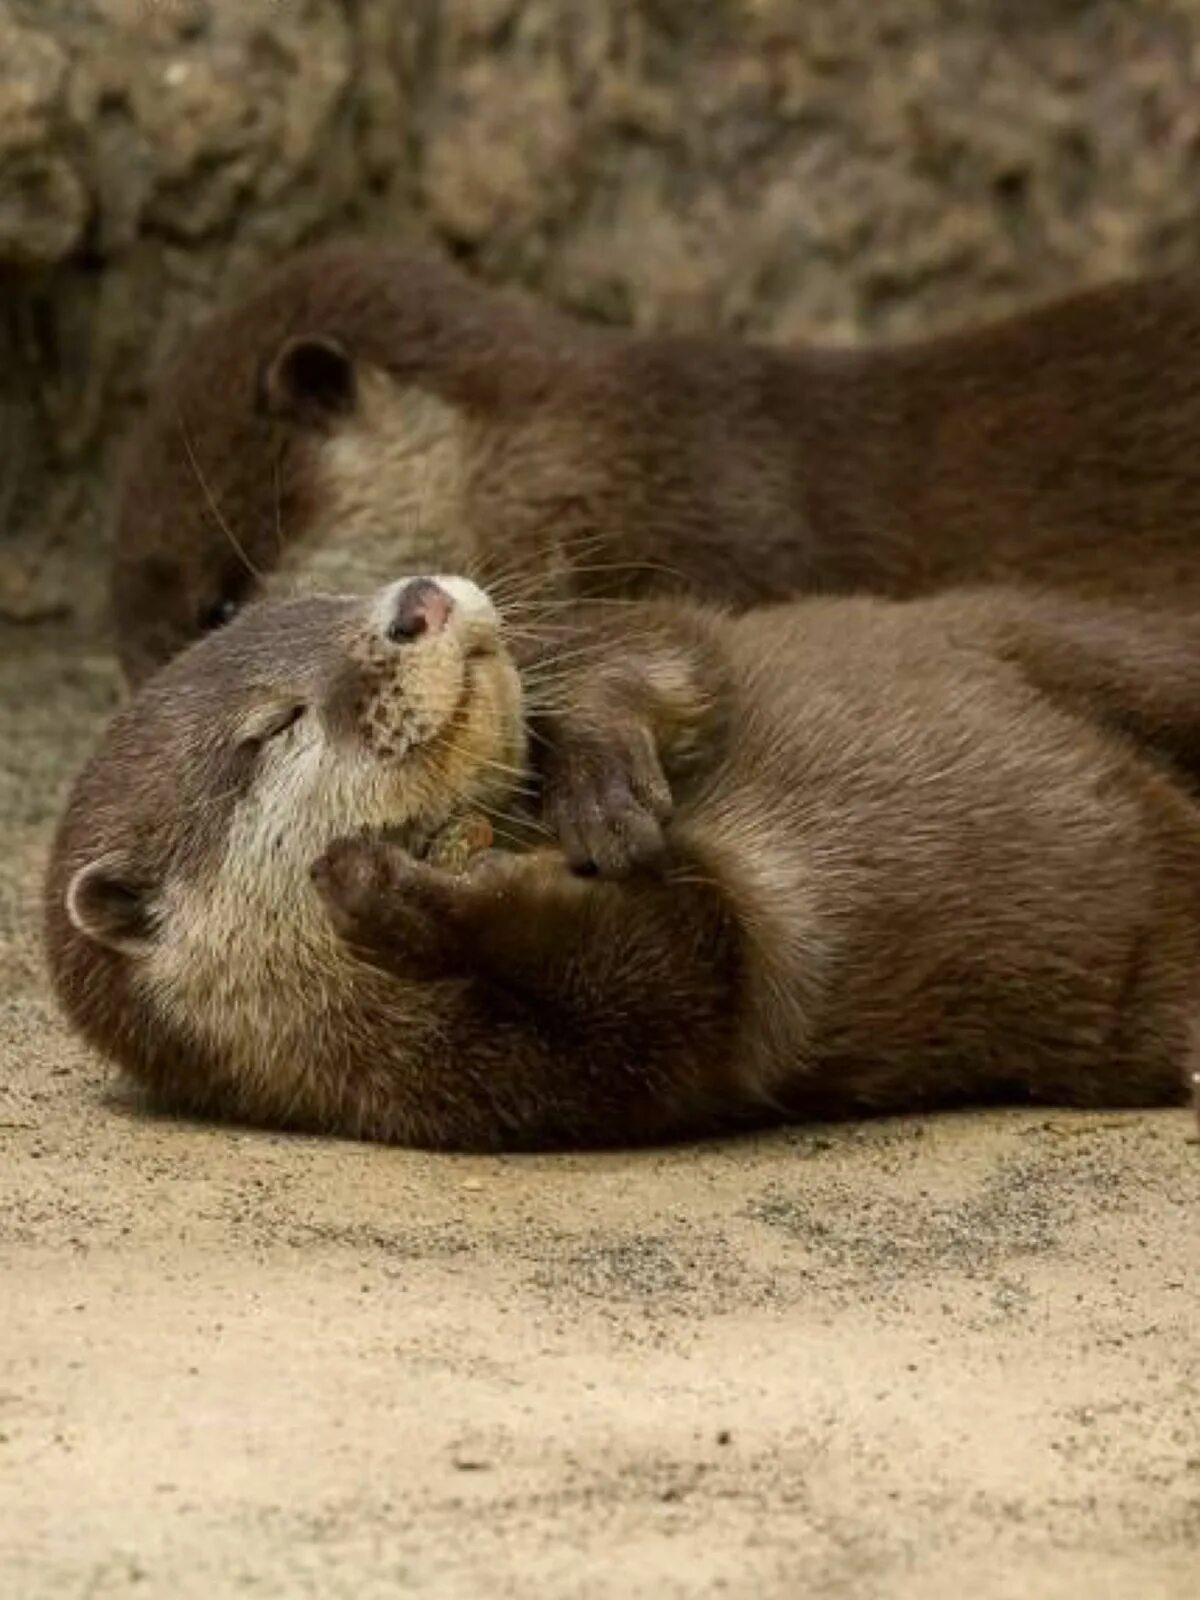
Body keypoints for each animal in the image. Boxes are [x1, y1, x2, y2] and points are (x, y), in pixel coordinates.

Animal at [42, 576, 1200, 1152]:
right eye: (273, 726)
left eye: (335, 596)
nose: (417, 596)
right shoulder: (530, 1085)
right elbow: (698, 965)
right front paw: (397, 895)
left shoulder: (681, 634)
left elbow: (658, 639)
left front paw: (597, 777)